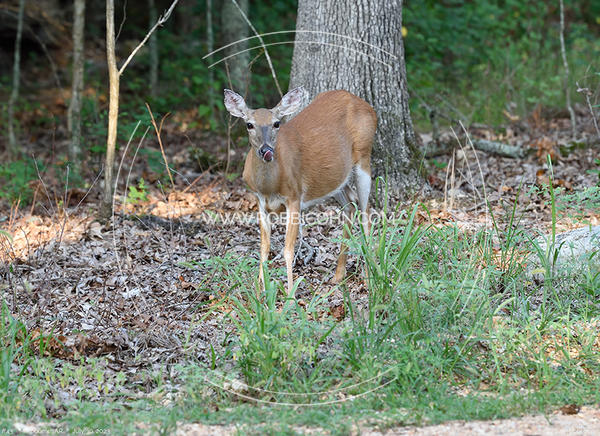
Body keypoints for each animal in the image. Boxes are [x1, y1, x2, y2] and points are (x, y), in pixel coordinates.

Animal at [223, 87, 376, 296]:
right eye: (249, 124)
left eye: (276, 123)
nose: (266, 150)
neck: (270, 186)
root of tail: (368, 106)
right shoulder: (260, 201)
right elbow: (264, 247)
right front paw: (260, 292)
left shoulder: (294, 197)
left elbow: (288, 249)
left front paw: (290, 295)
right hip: (334, 177)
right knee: (350, 204)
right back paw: (338, 275)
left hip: (363, 155)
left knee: (366, 211)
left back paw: (369, 280)